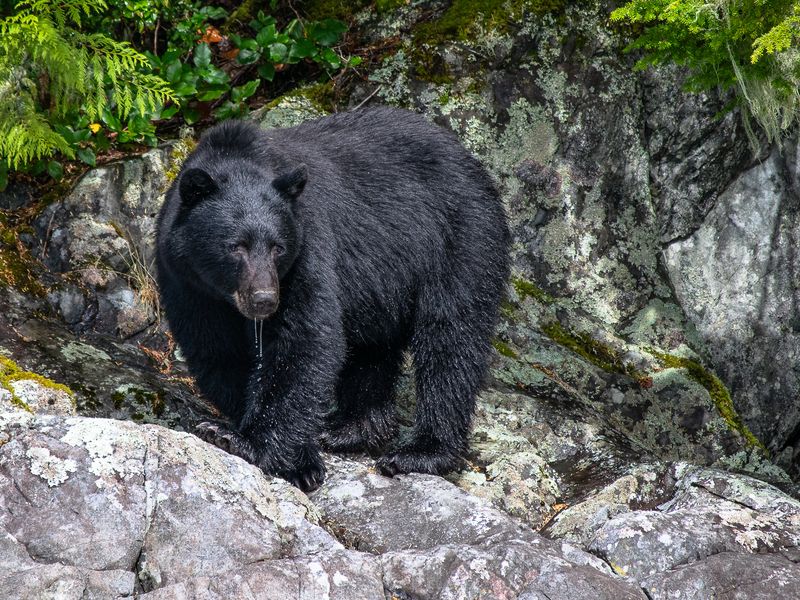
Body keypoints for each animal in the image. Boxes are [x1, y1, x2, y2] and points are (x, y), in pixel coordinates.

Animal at [155, 108, 506, 492]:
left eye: (278, 247)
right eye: (236, 247)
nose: (264, 300)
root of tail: (472, 162)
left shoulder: (307, 245)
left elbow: (306, 337)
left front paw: (245, 440)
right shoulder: (188, 282)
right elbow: (218, 350)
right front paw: (295, 455)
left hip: (460, 238)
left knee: (450, 339)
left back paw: (421, 451)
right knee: (373, 349)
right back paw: (352, 428)